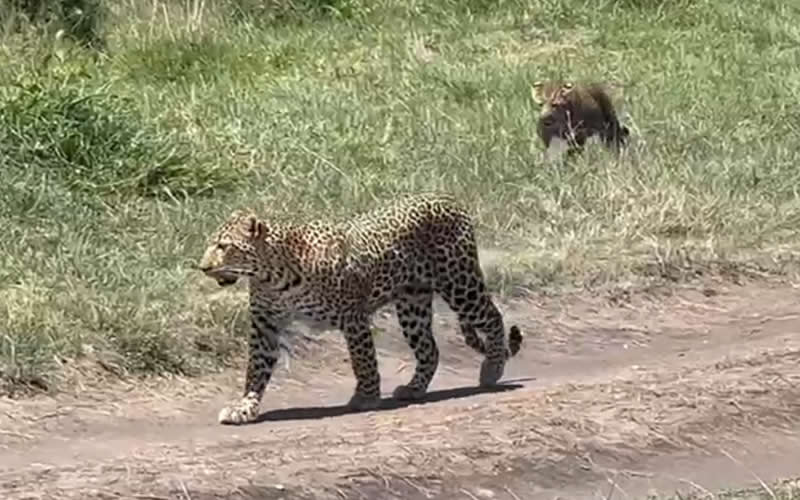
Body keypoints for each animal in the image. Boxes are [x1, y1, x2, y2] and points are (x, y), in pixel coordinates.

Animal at [197, 193, 524, 425]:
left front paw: (366, 397)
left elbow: (363, 360)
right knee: (429, 349)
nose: (202, 267)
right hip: (412, 304)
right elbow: (256, 370)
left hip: (459, 284)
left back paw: (492, 369)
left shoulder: (352, 318)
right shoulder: (264, 325)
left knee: (493, 317)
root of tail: (449, 199)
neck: (272, 277)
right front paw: (244, 407)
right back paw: (414, 388)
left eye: (224, 246)